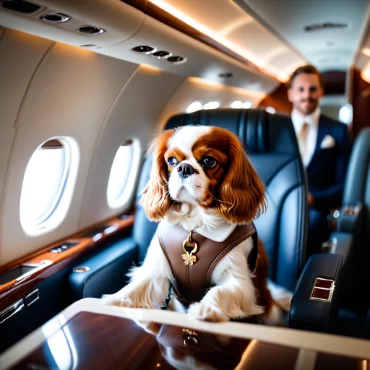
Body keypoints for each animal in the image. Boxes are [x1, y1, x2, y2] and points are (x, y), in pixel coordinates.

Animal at [102, 125, 288, 322]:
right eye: (172, 161)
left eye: (209, 161)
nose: (184, 167)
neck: (194, 225)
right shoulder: (156, 272)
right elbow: (136, 287)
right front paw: (111, 301)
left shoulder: (240, 284)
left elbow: (218, 291)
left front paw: (206, 308)